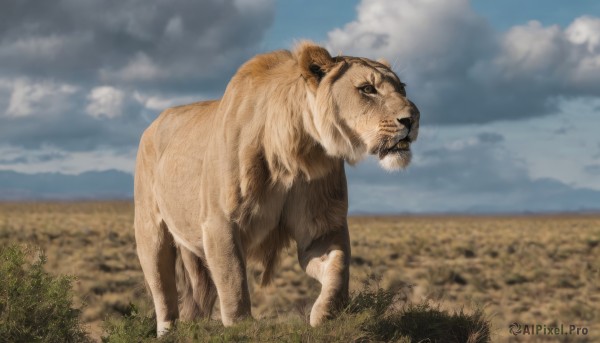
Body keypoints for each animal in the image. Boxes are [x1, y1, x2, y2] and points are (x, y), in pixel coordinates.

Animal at [134, 41, 420, 336]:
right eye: (367, 89)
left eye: (402, 88)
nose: (413, 119)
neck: (297, 152)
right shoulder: (219, 222)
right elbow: (233, 280)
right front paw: (242, 328)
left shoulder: (321, 227)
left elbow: (338, 266)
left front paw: (325, 314)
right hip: (151, 232)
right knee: (163, 294)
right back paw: (169, 332)